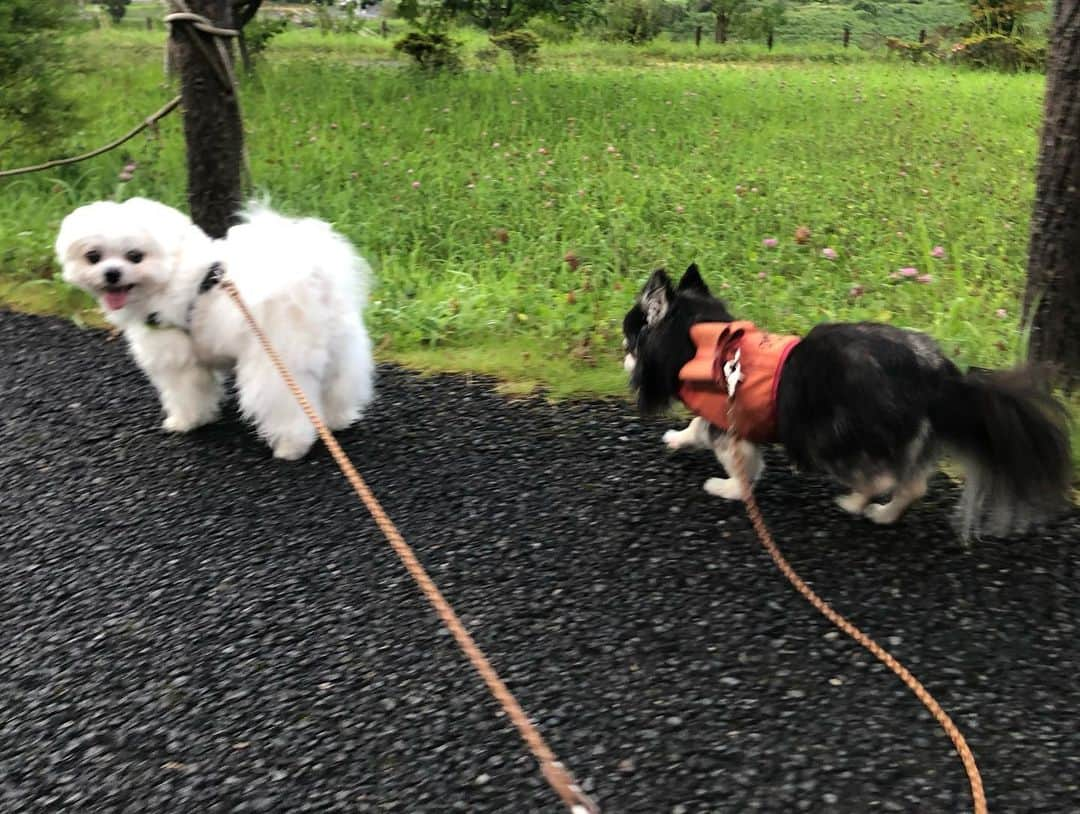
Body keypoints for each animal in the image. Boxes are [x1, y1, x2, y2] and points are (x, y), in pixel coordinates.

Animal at [54, 195, 375, 457]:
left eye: (135, 256)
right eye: (93, 256)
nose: (111, 273)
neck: (167, 275)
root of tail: (314, 279)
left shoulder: (176, 360)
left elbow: (186, 394)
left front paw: (185, 421)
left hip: (276, 364)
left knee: (288, 409)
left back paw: (291, 447)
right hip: (338, 350)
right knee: (339, 388)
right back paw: (336, 420)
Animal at [626, 261, 1071, 539]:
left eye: (630, 336)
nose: (624, 353)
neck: (702, 339)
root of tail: (939, 376)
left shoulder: (731, 429)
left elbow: (739, 468)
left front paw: (727, 489)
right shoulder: (723, 420)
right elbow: (695, 428)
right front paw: (676, 439)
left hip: (832, 438)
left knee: (880, 478)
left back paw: (854, 502)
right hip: (906, 440)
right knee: (911, 486)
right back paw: (882, 514)